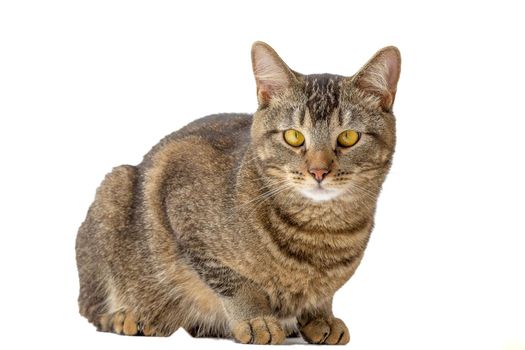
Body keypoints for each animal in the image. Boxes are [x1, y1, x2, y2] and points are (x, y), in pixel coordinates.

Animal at [74, 41, 402, 344]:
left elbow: (322, 294)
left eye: (348, 137)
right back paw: (129, 316)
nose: (318, 172)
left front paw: (321, 317)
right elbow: (235, 283)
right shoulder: (183, 196)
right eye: (293, 136)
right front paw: (255, 318)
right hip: (114, 188)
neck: (321, 235)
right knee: (92, 309)